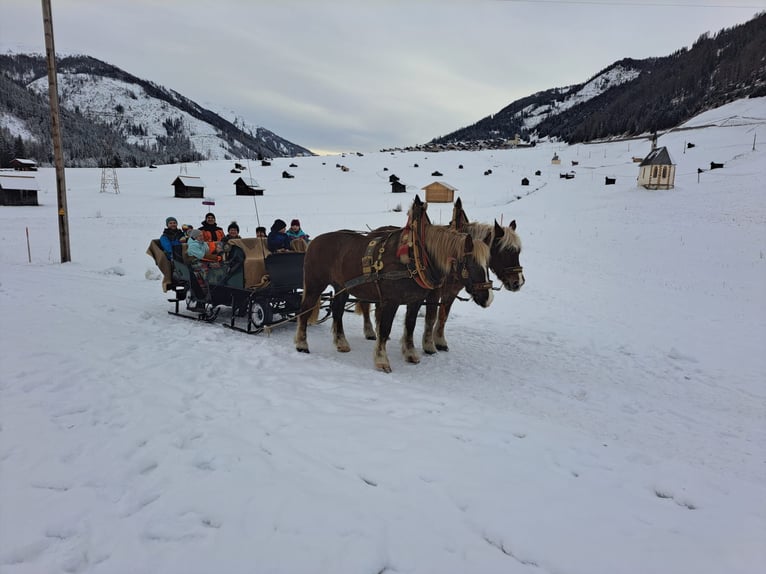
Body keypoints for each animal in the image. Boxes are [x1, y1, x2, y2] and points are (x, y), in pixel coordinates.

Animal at [294, 198, 492, 372]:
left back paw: (341, 343)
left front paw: (410, 354)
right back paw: (302, 344)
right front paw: (382, 360)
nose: (487, 298)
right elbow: (385, 328)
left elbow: (410, 325)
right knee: (304, 311)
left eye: (487, 264)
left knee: (337, 311)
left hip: (341, 287)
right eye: (471, 264)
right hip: (314, 285)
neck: (416, 256)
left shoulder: (415, 301)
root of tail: (314, 242)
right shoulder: (391, 301)